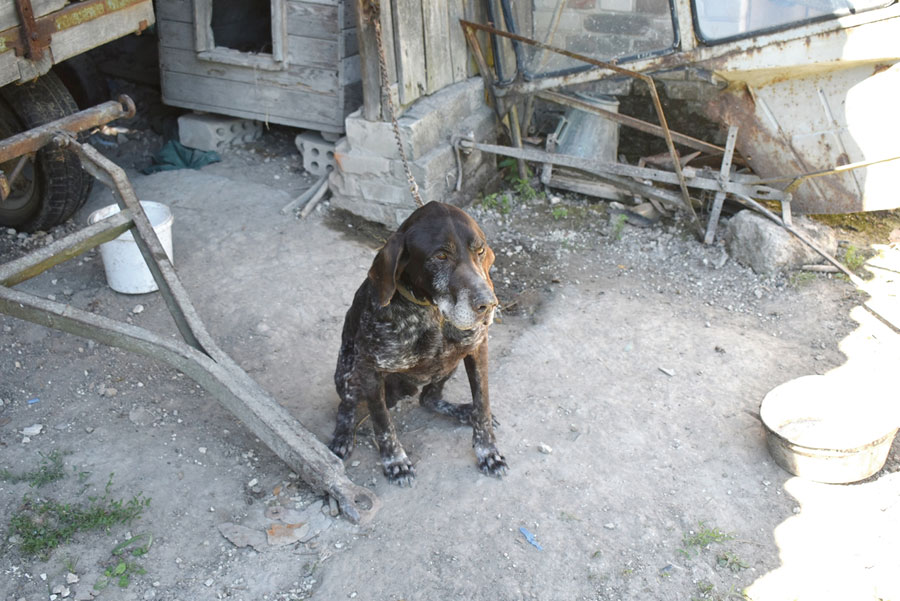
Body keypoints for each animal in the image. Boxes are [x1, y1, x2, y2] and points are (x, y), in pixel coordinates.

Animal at [329, 201, 507, 486]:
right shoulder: (368, 367)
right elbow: (382, 422)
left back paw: (462, 411)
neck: (434, 314)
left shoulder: (477, 348)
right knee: (346, 405)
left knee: (429, 399)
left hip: (449, 365)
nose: (488, 304)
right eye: (441, 256)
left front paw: (488, 451)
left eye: (480, 251)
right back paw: (343, 435)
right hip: (348, 373)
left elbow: (483, 405)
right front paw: (395, 461)